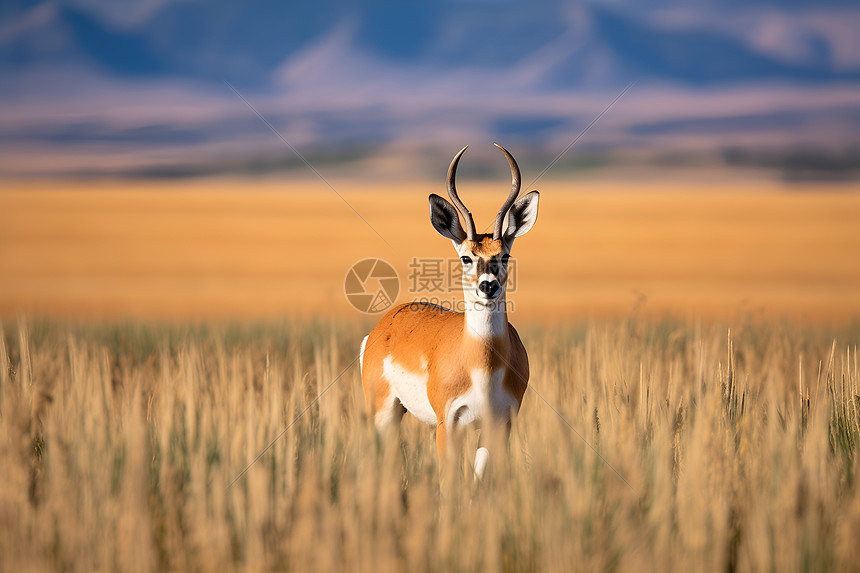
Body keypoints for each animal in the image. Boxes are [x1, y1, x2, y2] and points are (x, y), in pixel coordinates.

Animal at [358, 144, 536, 478]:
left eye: (504, 255)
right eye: (466, 257)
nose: (488, 286)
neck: (483, 364)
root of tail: (385, 324)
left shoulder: (499, 425)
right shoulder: (447, 424)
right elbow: (448, 481)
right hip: (383, 412)